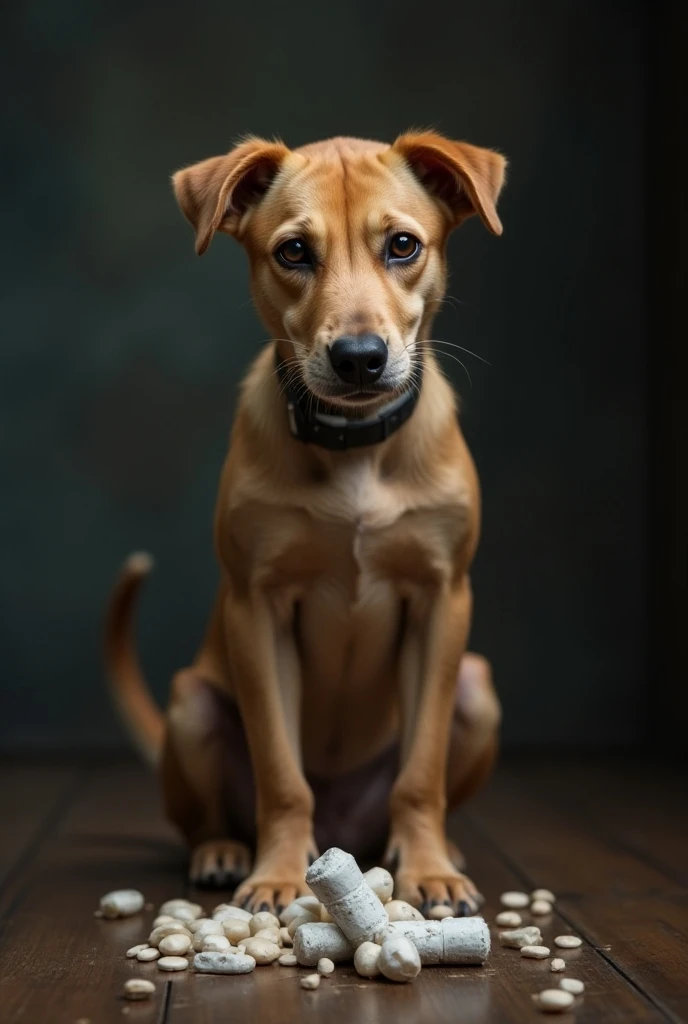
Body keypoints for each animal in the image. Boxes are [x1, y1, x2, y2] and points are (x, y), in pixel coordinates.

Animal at [107, 132, 505, 917]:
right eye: (293, 252)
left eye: (403, 245)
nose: (360, 359)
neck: (353, 450)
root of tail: (347, 828)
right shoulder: (256, 609)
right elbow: (282, 776)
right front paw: (278, 875)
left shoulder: (443, 600)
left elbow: (422, 772)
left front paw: (429, 868)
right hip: (192, 704)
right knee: (213, 815)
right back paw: (223, 852)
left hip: (476, 688)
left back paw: (431, 848)